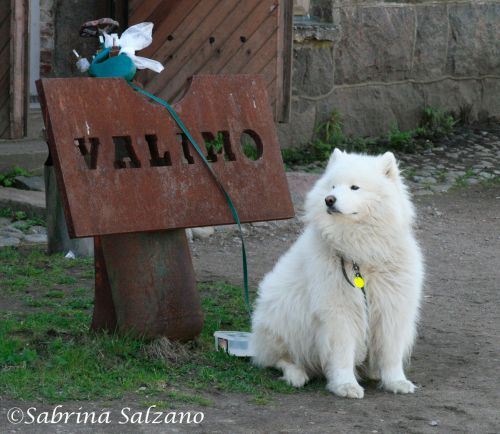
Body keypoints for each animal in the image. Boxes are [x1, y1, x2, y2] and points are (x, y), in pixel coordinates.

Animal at [252, 150, 424, 400]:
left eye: (354, 187)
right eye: (332, 186)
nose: (329, 199)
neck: (361, 255)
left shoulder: (391, 307)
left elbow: (391, 353)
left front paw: (396, 381)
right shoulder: (339, 311)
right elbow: (342, 354)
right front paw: (345, 385)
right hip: (281, 318)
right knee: (279, 359)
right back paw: (296, 374)